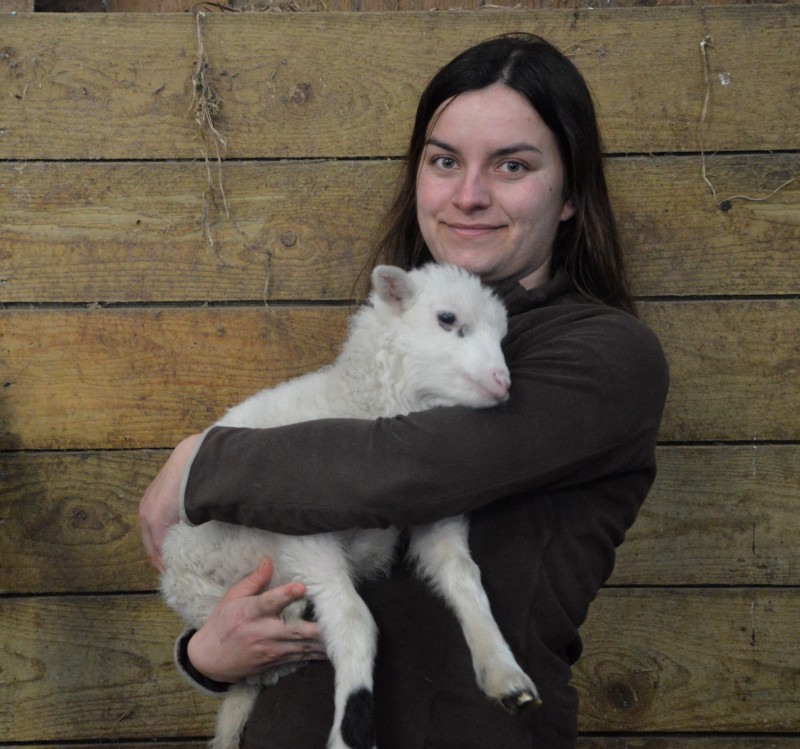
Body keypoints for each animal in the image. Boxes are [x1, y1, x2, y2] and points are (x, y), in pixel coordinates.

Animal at [160, 262, 540, 748]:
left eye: (503, 335)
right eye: (447, 319)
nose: (503, 385)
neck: (362, 402)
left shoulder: (432, 511)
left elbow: (464, 576)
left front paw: (504, 673)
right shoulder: (303, 537)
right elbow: (354, 622)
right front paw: (351, 730)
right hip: (198, 584)